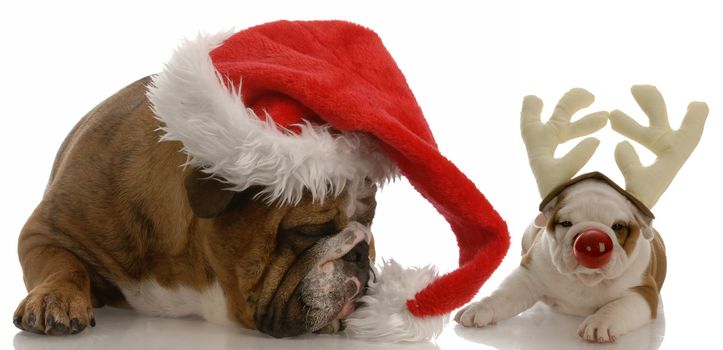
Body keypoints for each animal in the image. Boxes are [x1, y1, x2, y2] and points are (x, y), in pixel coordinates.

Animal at [12, 78, 378, 338]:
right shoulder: (43, 233)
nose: (361, 252)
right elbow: (62, 264)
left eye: (369, 221)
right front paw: (55, 298)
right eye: (308, 230)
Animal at [458, 174, 668, 342]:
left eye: (618, 226)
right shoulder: (529, 275)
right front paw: (480, 307)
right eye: (565, 223)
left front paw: (600, 322)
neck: (585, 280)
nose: (591, 239)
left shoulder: (643, 292)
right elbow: (504, 294)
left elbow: (619, 306)